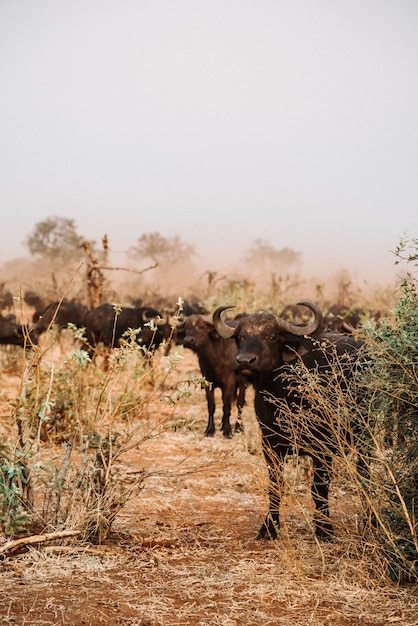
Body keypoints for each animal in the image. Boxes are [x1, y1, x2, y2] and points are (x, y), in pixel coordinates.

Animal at [214, 300, 368, 540]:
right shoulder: (270, 444)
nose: (245, 361)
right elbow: (275, 486)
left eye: (271, 336)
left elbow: (319, 488)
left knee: (365, 475)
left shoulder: (322, 447)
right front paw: (268, 528)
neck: (283, 393)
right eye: (240, 337)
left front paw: (324, 530)